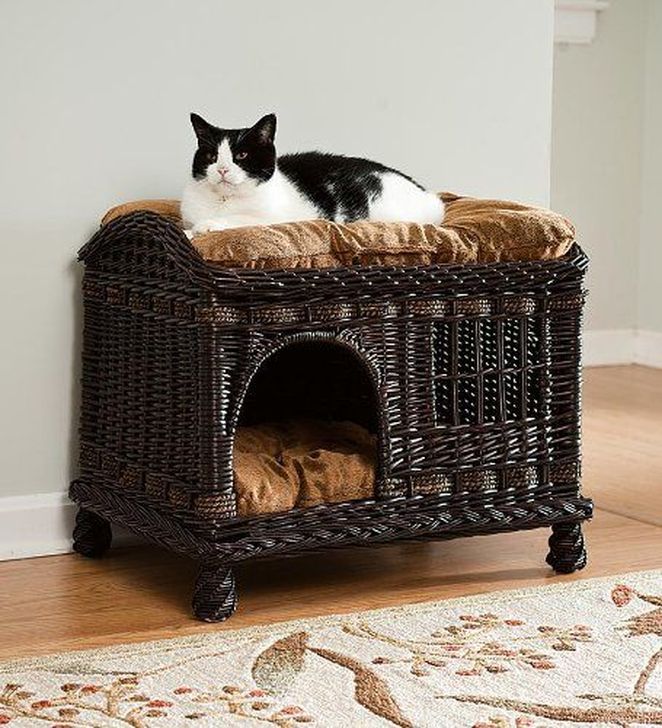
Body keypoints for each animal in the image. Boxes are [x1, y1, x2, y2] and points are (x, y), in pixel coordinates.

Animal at [180, 112, 446, 232]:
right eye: (211, 157)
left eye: (242, 156)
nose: (222, 169)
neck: (224, 200)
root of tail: (430, 196)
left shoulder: (278, 219)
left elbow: (243, 220)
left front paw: (207, 225)